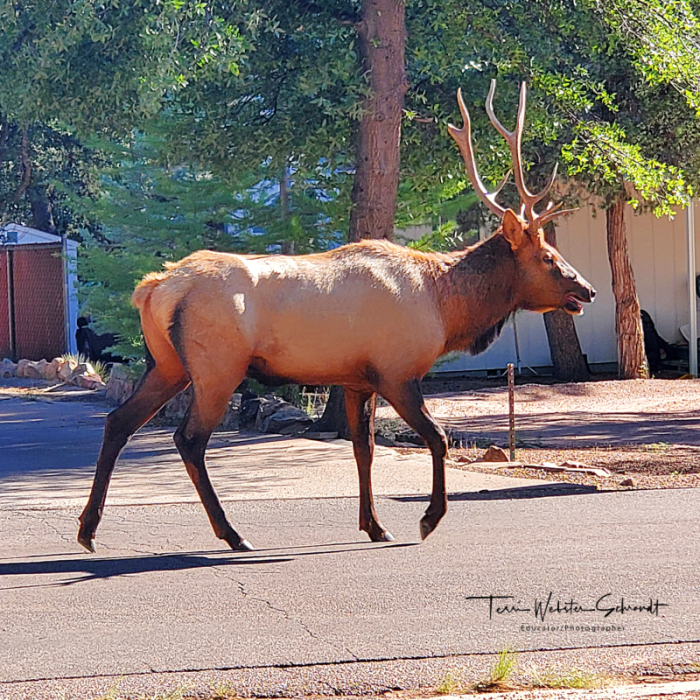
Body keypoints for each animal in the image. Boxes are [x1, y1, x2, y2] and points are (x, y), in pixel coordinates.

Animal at [78, 80, 595, 553]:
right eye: (548, 257)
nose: (586, 290)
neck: (446, 307)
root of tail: (154, 288)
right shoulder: (397, 371)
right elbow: (438, 437)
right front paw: (428, 519)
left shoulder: (357, 378)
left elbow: (363, 449)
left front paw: (375, 525)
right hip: (216, 366)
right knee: (188, 438)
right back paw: (232, 534)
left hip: (167, 364)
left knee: (118, 422)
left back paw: (88, 530)